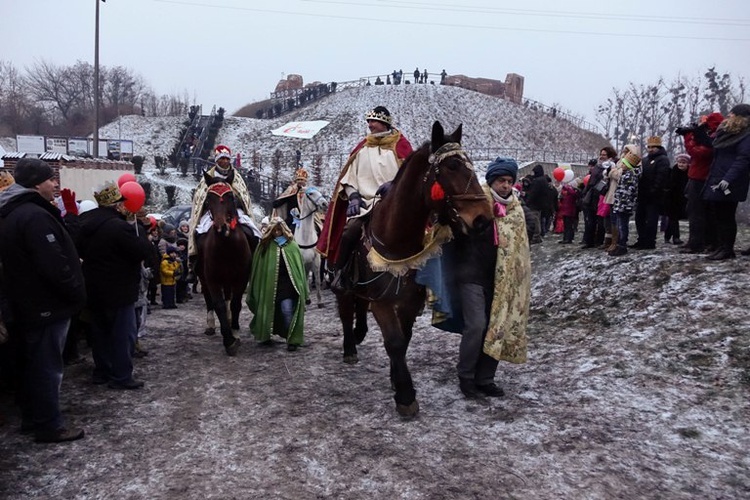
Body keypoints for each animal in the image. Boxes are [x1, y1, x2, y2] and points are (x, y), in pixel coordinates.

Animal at [198, 171, 254, 356]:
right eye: (209, 198)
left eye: (230, 196)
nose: (222, 227)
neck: (226, 245)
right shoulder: (212, 278)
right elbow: (219, 305)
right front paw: (228, 340)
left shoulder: (241, 277)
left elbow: (236, 303)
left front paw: (234, 332)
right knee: (208, 297)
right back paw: (211, 325)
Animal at [338, 121, 496, 418]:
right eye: (451, 167)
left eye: (470, 164)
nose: (483, 219)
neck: (397, 242)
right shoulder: (383, 303)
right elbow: (395, 342)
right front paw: (405, 395)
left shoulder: (409, 301)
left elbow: (405, 338)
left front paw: (395, 379)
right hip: (342, 287)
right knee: (345, 312)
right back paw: (349, 348)